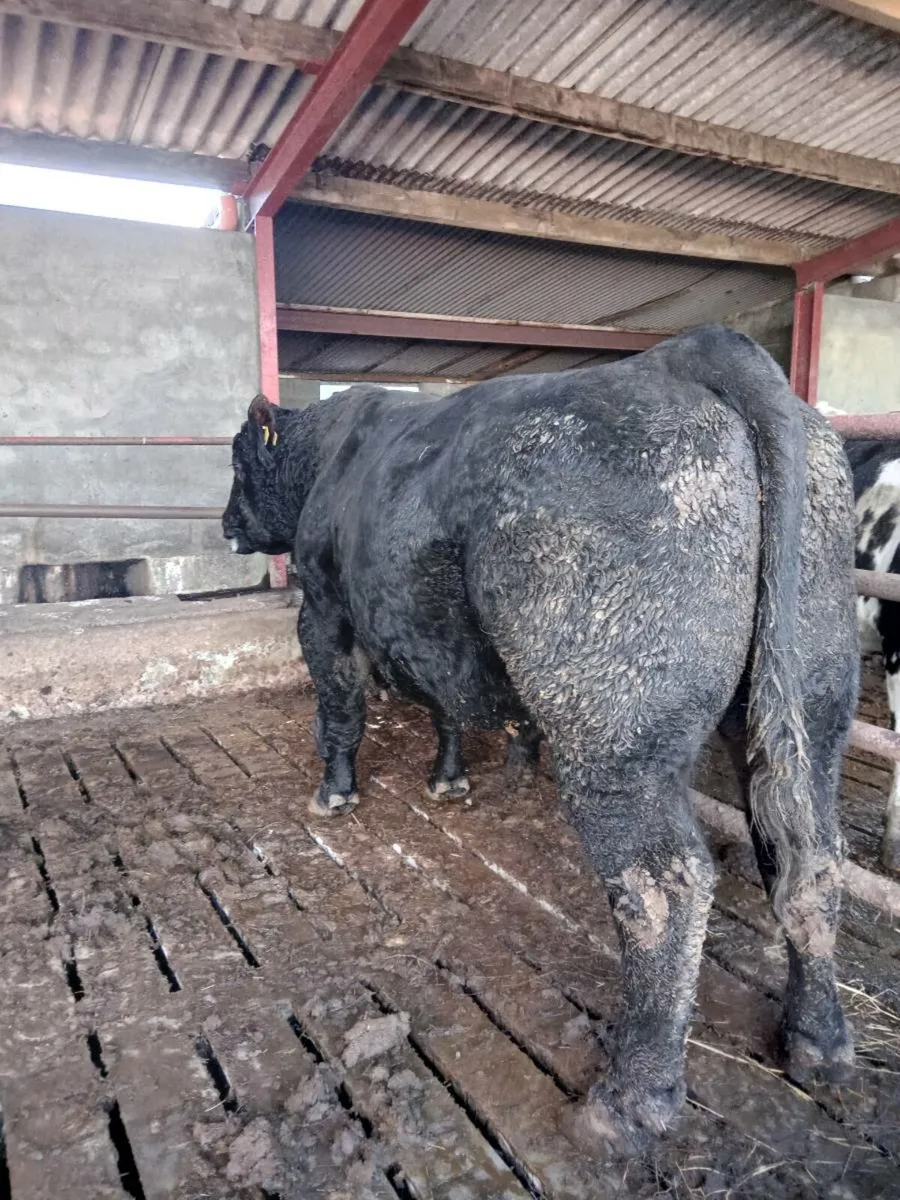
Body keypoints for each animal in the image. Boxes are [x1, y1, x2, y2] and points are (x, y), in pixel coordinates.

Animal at [223, 325, 857, 1155]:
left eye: (236, 461)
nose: (225, 523)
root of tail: (691, 352)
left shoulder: (324, 605)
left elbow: (339, 706)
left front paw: (335, 792)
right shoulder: (432, 632)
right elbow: (446, 705)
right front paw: (450, 779)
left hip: (614, 732)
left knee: (665, 885)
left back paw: (630, 1099)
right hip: (810, 700)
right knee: (809, 853)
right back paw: (819, 1041)